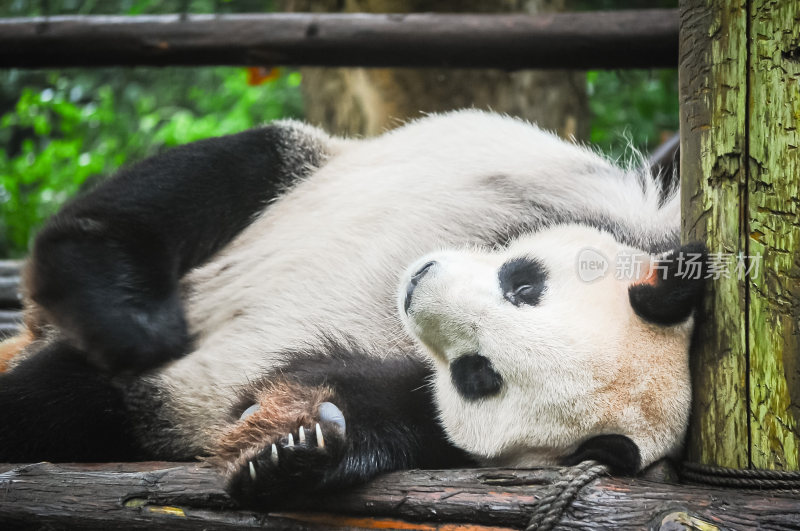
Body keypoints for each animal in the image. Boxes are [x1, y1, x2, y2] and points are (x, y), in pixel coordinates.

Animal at [0, 110, 700, 510]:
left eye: (480, 375)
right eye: (523, 284)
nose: (421, 285)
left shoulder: (430, 410)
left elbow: (346, 395)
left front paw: (292, 451)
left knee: (78, 405)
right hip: (299, 178)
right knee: (213, 175)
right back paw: (121, 309)